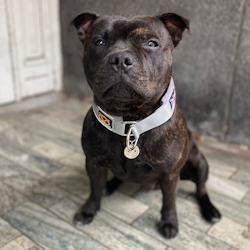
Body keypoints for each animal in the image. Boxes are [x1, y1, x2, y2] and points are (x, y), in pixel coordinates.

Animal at [72, 12, 221, 239]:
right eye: (99, 42)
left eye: (151, 43)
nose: (120, 59)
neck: (130, 122)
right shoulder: (94, 164)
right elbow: (94, 190)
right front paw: (89, 210)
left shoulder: (170, 176)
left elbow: (169, 202)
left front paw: (169, 223)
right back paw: (110, 184)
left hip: (201, 163)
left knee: (201, 189)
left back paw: (210, 210)